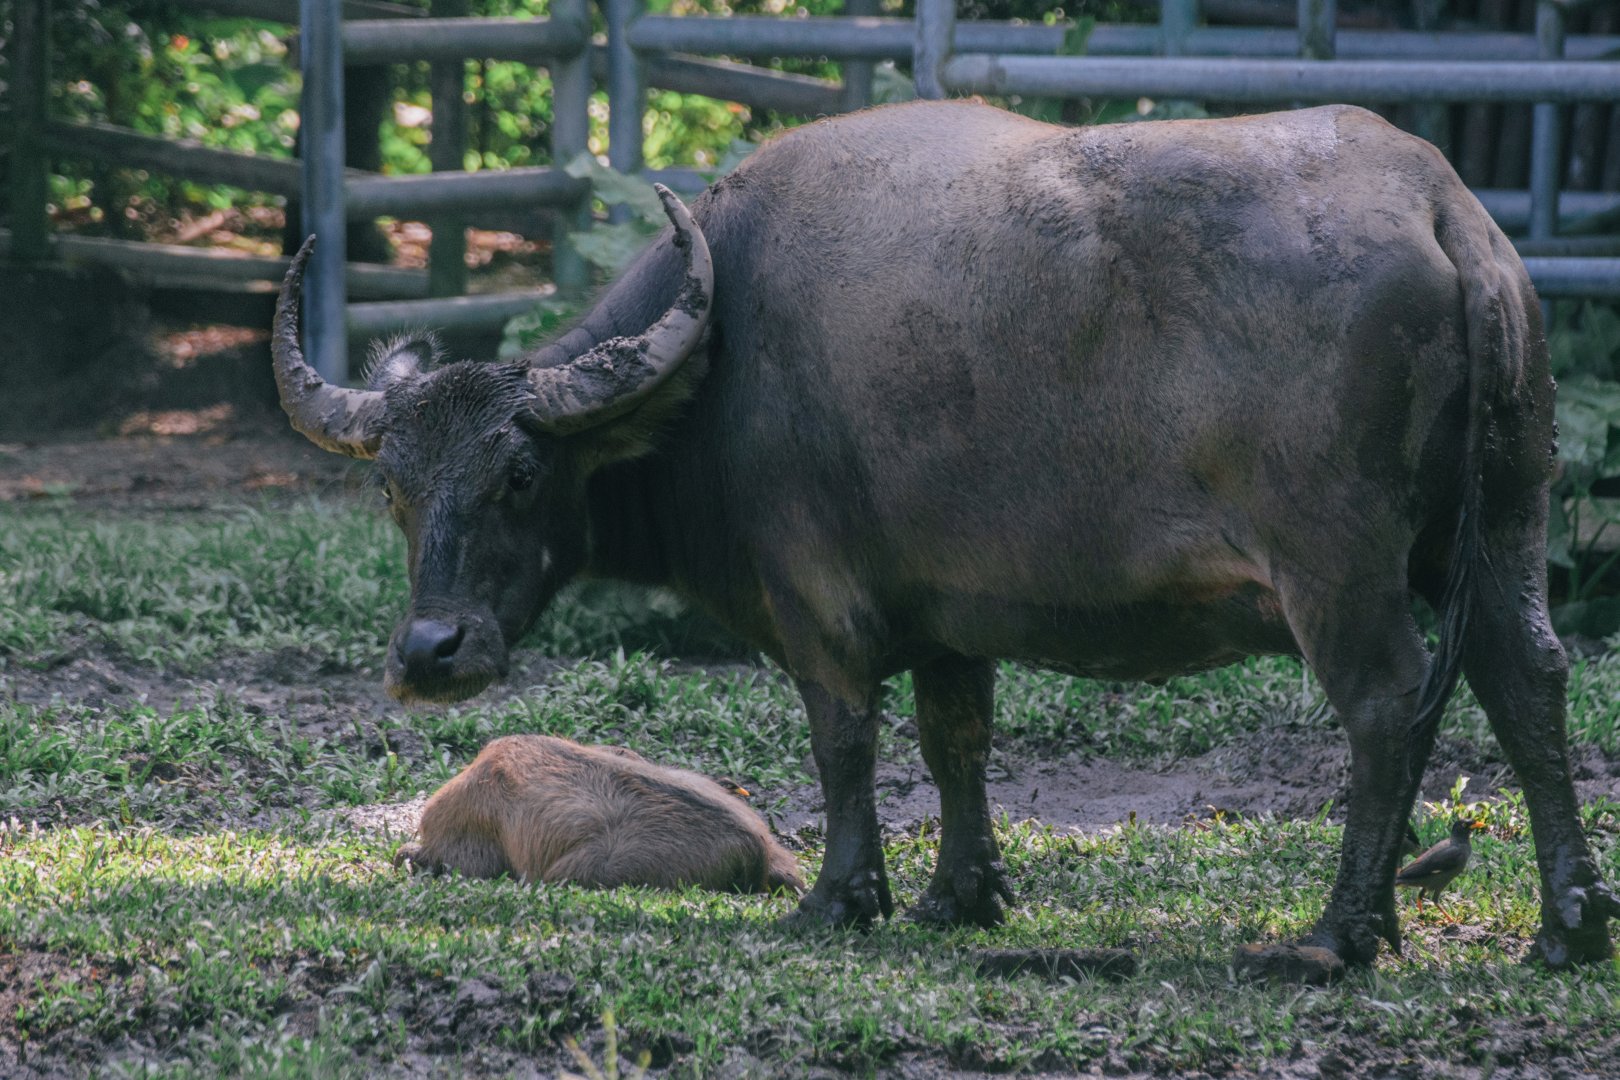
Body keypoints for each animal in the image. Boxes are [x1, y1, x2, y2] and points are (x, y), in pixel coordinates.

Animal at [273, 100, 1617, 966]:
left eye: (518, 475)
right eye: (393, 486)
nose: (431, 654)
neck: (721, 360)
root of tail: (1444, 211)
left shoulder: (816, 607)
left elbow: (845, 741)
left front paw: (840, 900)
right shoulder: (949, 612)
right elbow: (956, 738)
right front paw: (960, 897)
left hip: (1336, 569)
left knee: (1390, 701)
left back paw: (1342, 930)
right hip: (1503, 520)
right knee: (1528, 674)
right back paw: (1567, 926)